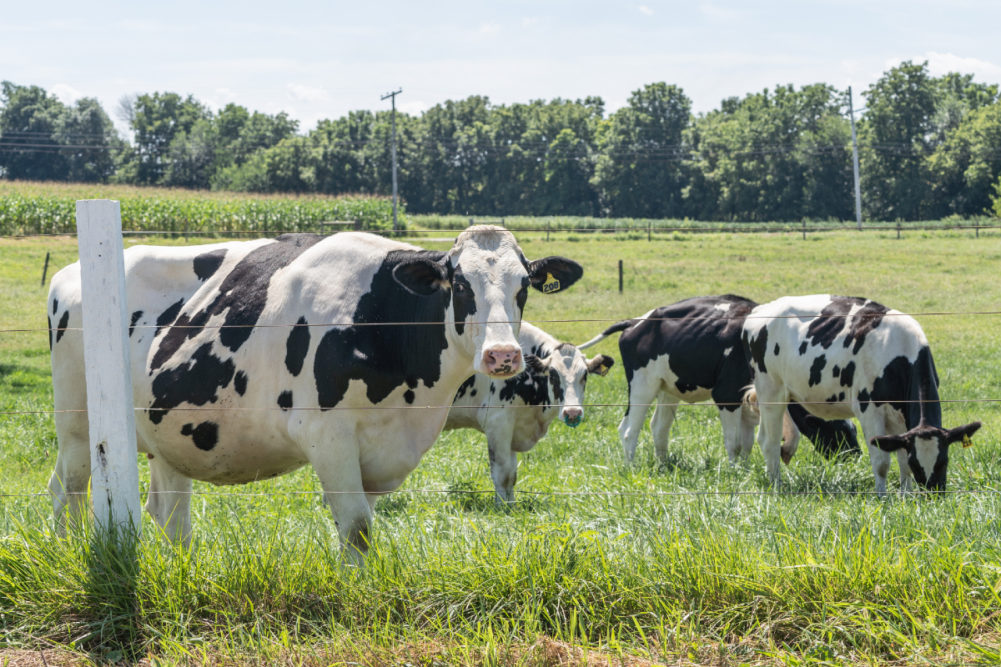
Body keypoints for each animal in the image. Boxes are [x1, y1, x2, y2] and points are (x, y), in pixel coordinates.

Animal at [50, 226, 584, 552]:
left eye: (523, 286)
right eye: (459, 284)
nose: (502, 355)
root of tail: (71, 271)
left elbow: (363, 524)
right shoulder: (328, 436)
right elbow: (358, 528)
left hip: (169, 434)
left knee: (169, 515)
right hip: (79, 424)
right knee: (69, 487)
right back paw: (70, 552)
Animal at [444, 320, 608, 498]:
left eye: (585, 375)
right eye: (553, 374)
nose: (572, 412)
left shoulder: (514, 427)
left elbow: (511, 477)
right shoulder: (498, 424)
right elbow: (502, 476)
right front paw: (502, 505)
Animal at [580, 294, 860, 464]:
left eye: (852, 428)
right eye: (837, 431)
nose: (854, 458)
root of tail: (635, 321)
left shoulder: (750, 399)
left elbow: (747, 443)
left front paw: (745, 471)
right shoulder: (726, 395)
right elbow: (734, 443)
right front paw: (734, 472)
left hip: (667, 388)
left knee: (659, 428)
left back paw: (663, 465)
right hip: (641, 385)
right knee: (628, 430)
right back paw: (632, 467)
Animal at [748, 294, 980, 490]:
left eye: (944, 460)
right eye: (917, 463)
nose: (933, 494)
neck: (901, 353)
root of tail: (762, 309)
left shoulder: (901, 416)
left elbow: (900, 457)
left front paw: (906, 497)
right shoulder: (869, 410)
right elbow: (881, 462)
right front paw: (883, 498)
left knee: (764, 438)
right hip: (771, 390)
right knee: (770, 442)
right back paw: (776, 487)